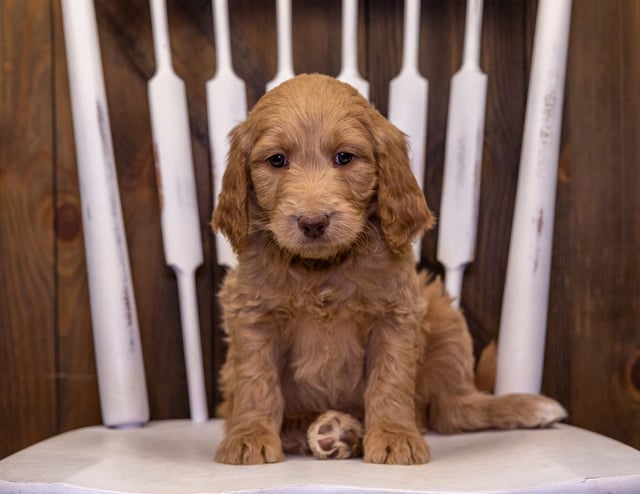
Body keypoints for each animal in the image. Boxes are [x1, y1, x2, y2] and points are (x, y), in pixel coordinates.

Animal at [211, 72, 564, 464]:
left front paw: (395, 436)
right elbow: (256, 380)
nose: (313, 222)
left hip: (442, 315)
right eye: (276, 160)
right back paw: (331, 431)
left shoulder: (396, 314)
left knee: (455, 410)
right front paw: (249, 435)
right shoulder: (253, 314)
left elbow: (390, 379)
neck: (323, 269)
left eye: (344, 157)